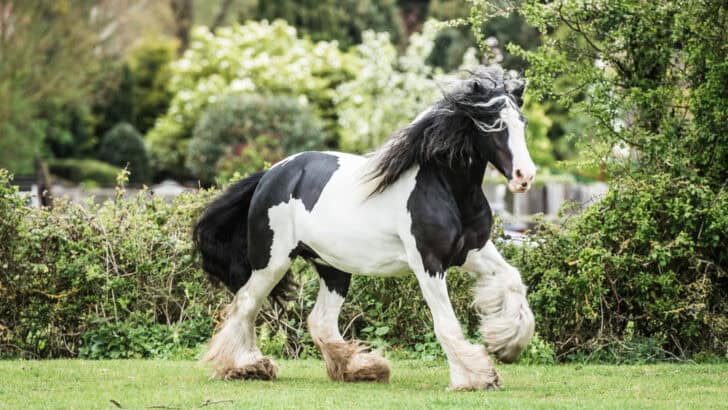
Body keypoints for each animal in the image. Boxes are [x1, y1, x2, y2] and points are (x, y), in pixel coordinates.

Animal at [193, 67, 537, 391]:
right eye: (495, 125)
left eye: (522, 123)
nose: (525, 176)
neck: (447, 190)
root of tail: (270, 174)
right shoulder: (428, 263)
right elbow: (446, 323)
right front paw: (476, 377)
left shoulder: (473, 251)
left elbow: (513, 280)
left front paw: (506, 344)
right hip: (272, 263)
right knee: (246, 305)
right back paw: (246, 367)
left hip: (332, 268)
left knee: (319, 321)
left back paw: (361, 368)